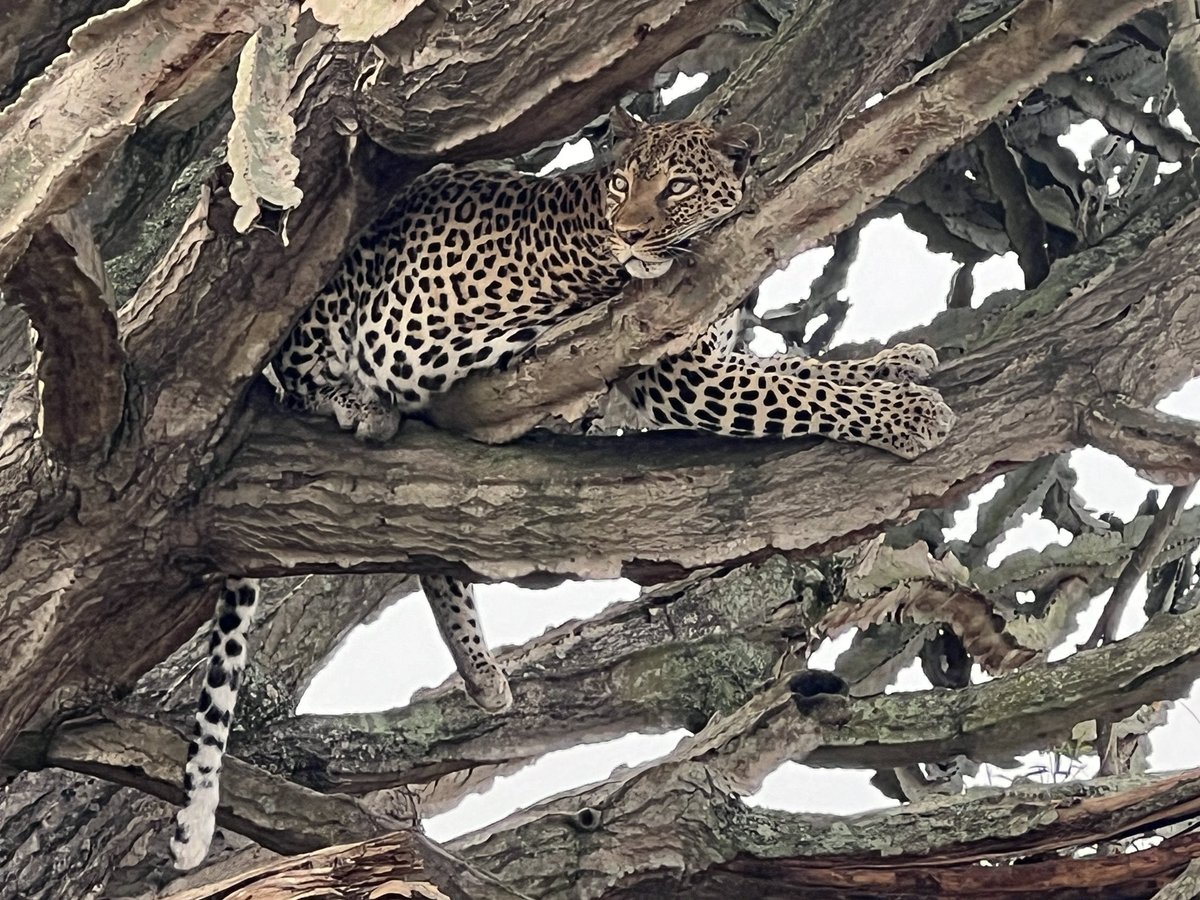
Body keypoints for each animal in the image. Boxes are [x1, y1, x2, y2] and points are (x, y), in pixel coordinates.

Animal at [170, 108, 954, 869]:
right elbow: (803, 388)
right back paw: (363, 403)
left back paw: (481, 670)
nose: (628, 232)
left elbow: (807, 367)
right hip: (367, 331)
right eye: (622, 184)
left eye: (675, 187)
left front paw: (899, 362)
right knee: (314, 385)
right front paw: (909, 414)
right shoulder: (685, 373)